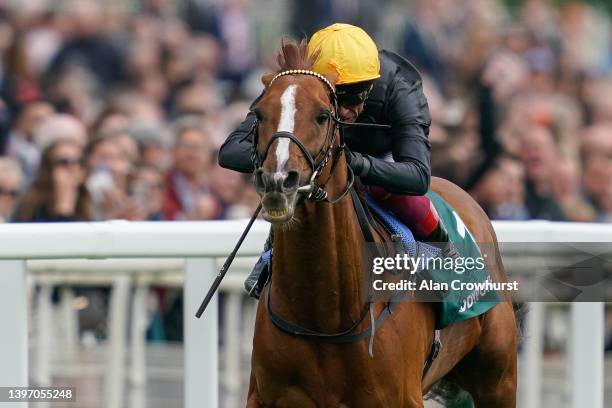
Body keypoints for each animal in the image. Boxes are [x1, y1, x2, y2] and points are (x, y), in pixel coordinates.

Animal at [246, 41, 520, 408]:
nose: (278, 182)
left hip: (498, 379)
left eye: (322, 115)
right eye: (259, 114)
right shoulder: (264, 396)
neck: (325, 313)